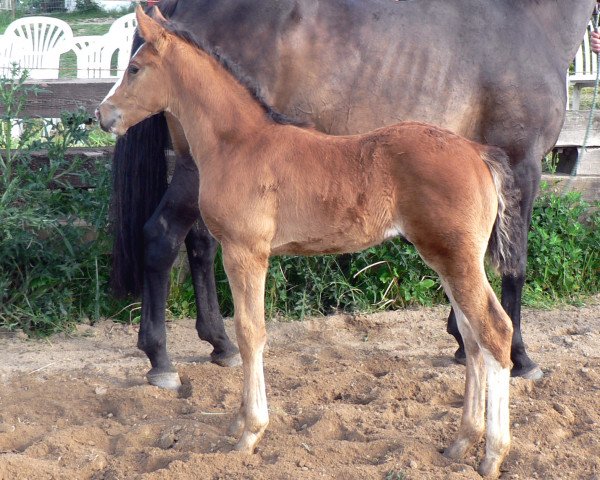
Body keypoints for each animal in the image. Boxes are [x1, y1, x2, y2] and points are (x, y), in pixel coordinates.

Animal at [97, 7, 520, 476]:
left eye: (135, 68)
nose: (103, 115)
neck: (238, 143)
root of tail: (478, 153)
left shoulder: (246, 253)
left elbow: (250, 331)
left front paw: (250, 432)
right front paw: (238, 422)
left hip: (457, 258)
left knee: (494, 331)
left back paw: (492, 454)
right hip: (446, 258)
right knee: (472, 337)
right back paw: (461, 442)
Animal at [111, 0, 596, 388]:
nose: (104, 113)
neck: (528, 20)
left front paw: (462, 340)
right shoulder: (521, 163)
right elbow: (515, 265)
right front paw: (521, 357)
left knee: (198, 243)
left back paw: (219, 344)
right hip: (193, 172)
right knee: (161, 237)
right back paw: (160, 359)